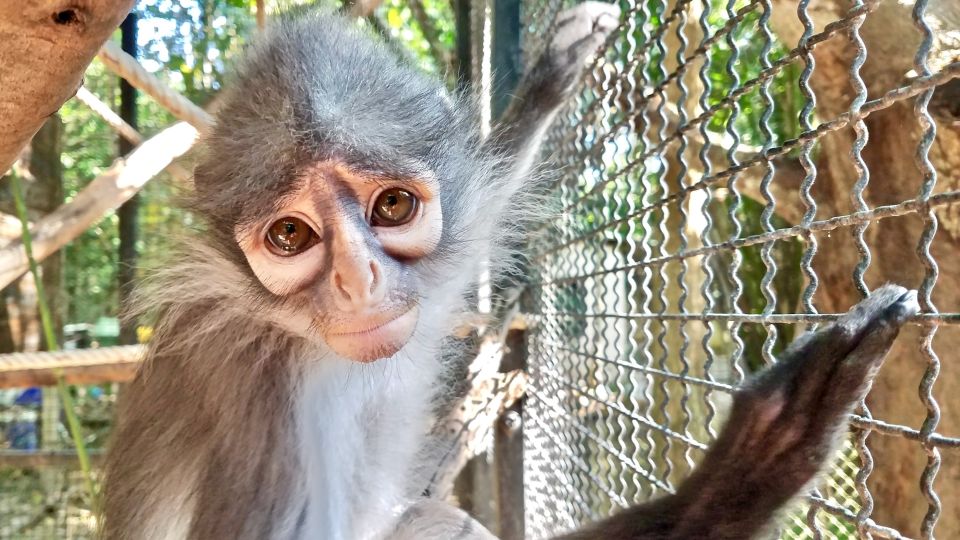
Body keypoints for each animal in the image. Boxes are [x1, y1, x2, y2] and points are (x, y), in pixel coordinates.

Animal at [101, 5, 920, 540]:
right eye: (291, 235)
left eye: (392, 206)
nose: (359, 281)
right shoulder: (258, 389)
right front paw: (736, 482)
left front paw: (554, 72)